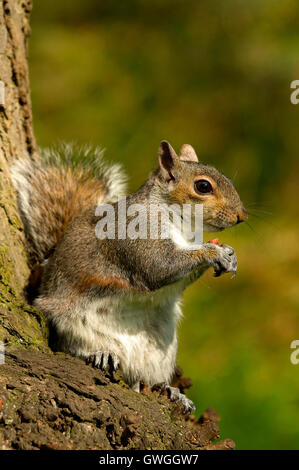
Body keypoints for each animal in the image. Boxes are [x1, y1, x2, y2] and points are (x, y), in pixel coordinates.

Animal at [9, 140, 248, 412]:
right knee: (68, 348)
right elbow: (159, 267)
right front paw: (213, 251)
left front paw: (230, 254)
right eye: (203, 186)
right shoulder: (135, 234)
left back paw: (171, 391)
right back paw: (99, 354)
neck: (181, 224)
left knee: (144, 380)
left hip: (160, 352)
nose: (242, 216)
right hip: (69, 325)